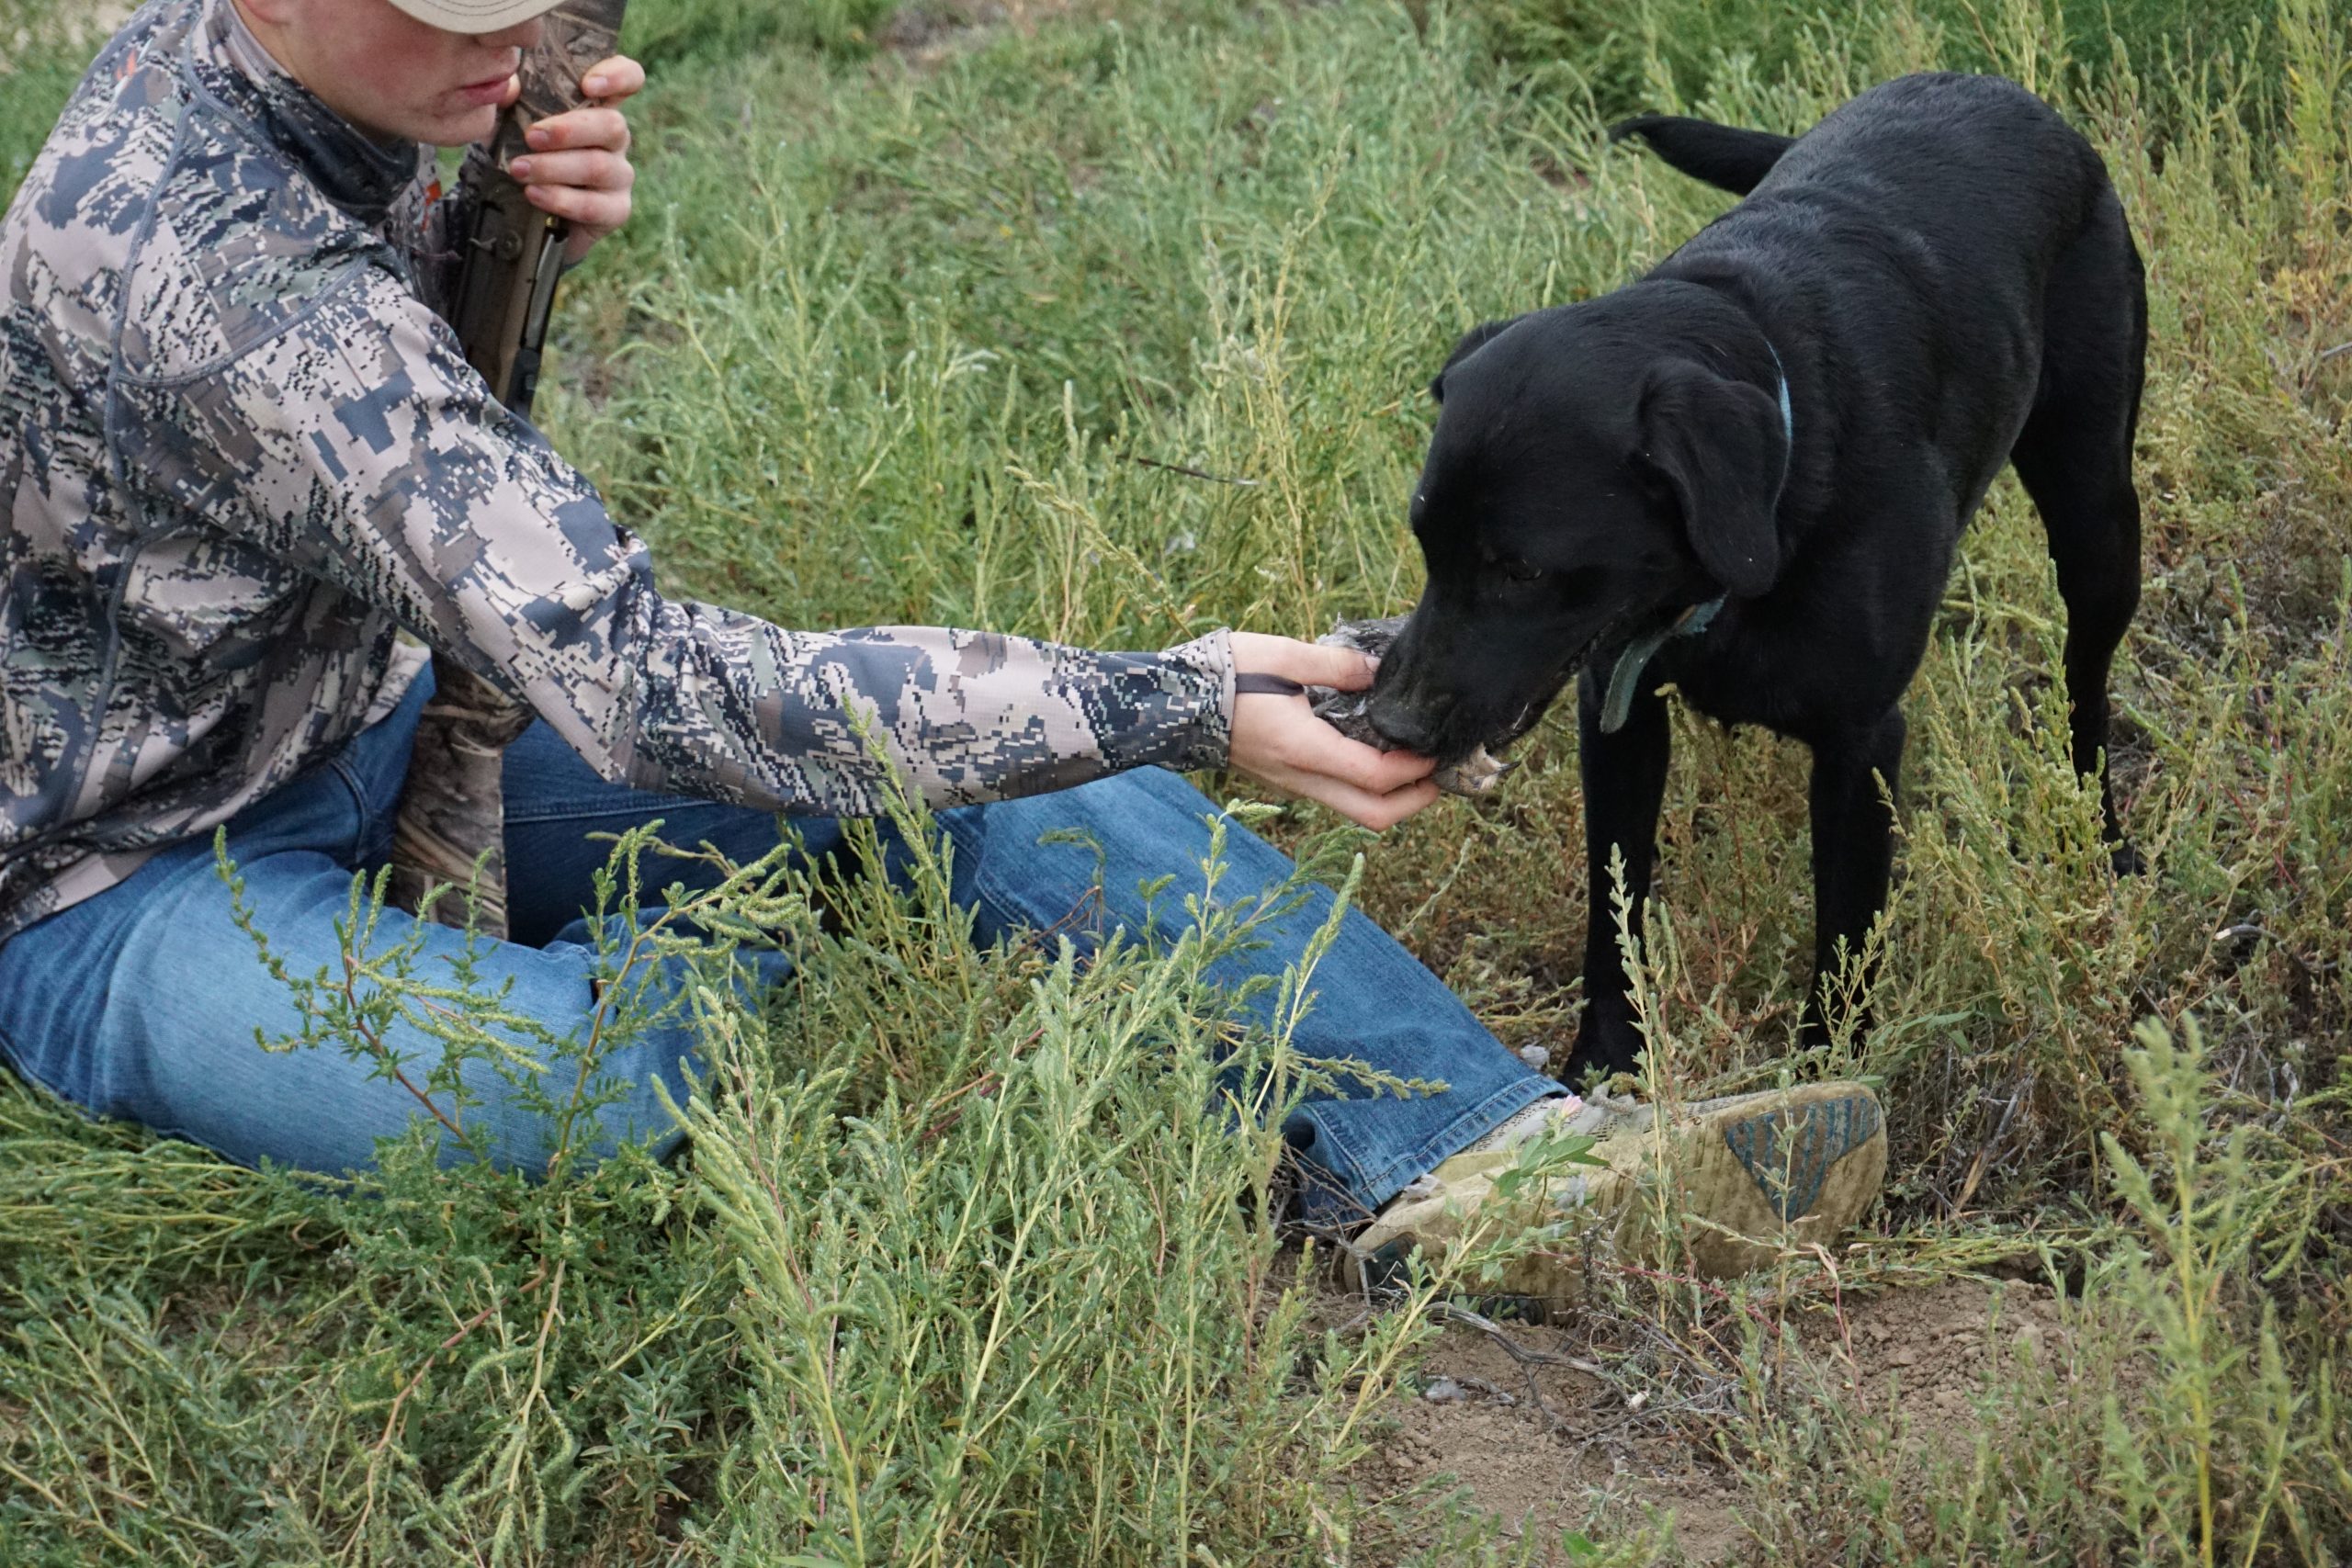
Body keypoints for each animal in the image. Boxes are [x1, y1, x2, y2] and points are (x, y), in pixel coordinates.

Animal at [1363, 73, 2154, 1081]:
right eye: (1425, 542)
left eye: (1520, 569)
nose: (1391, 723)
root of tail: (1997, 88)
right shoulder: (1617, 714)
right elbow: (1612, 917)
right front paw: (1607, 1062)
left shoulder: (1861, 744)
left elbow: (1844, 944)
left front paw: (1825, 1080)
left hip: (2097, 521)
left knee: (2086, 687)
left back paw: (2102, 838)